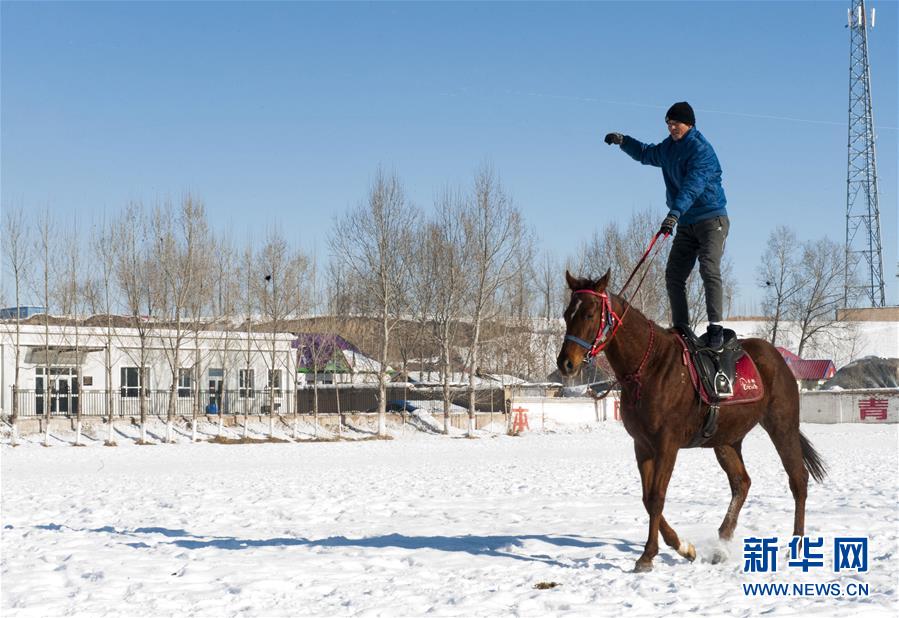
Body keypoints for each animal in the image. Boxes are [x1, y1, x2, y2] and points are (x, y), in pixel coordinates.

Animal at [560, 270, 828, 572]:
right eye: (567, 314)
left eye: (590, 314)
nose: (565, 363)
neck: (650, 367)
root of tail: (777, 359)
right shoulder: (642, 445)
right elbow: (647, 498)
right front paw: (683, 547)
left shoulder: (667, 444)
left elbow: (656, 497)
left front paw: (648, 554)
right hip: (726, 440)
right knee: (742, 483)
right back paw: (722, 545)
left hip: (782, 426)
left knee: (798, 479)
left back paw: (797, 546)